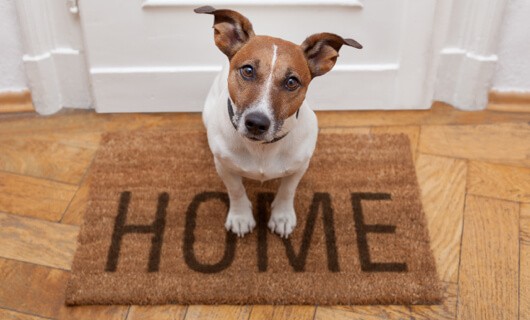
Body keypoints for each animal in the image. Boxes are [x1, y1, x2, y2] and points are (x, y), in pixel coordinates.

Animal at [196, 5, 360, 238]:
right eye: (247, 70)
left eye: (292, 82)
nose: (256, 123)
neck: (262, 148)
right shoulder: (224, 166)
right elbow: (236, 190)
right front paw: (240, 216)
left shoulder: (299, 167)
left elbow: (287, 191)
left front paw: (282, 216)